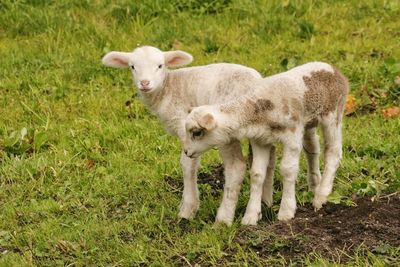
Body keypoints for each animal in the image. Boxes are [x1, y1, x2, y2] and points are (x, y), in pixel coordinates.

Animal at [101, 45, 276, 226]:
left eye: (160, 66)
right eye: (132, 67)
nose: (145, 83)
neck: (167, 88)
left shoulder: (185, 126)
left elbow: (187, 165)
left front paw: (188, 209)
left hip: (225, 132)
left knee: (236, 167)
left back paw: (223, 219)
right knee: (268, 161)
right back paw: (264, 206)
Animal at [183, 61, 348, 225]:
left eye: (197, 132)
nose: (186, 151)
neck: (259, 109)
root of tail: (334, 70)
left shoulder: (293, 136)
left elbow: (288, 170)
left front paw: (286, 211)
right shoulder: (261, 140)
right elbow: (257, 174)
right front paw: (251, 216)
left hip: (333, 114)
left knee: (333, 153)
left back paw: (321, 196)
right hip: (309, 121)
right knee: (313, 148)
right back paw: (314, 185)